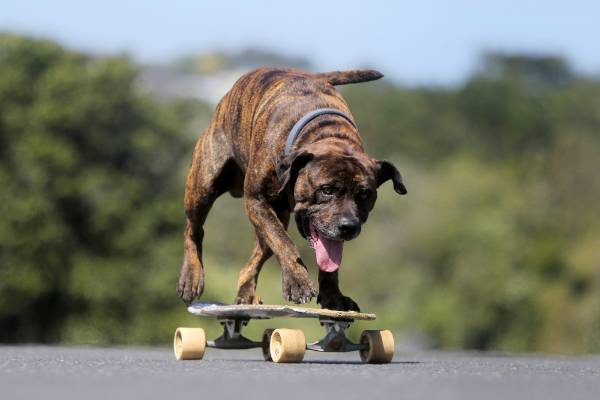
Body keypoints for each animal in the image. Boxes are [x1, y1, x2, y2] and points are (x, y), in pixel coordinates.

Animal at [176, 67, 406, 310]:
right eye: (326, 190)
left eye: (364, 195)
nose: (348, 226)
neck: (326, 133)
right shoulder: (256, 200)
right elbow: (284, 242)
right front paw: (298, 282)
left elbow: (329, 263)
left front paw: (333, 295)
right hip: (203, 185)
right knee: (193, 229)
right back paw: (191, 277)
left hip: (276, 218)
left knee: (255, 258)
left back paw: (246, 293)